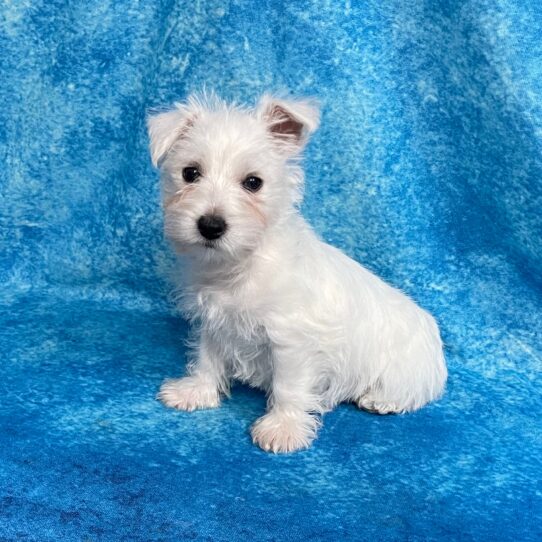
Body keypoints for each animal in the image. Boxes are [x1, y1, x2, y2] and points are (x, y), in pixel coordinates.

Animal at [147, 94, 448, 454]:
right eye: (190, 173)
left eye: (253, 182)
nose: (210, 226)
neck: (242, 264)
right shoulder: (214, 322)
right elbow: (207, 358)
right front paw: (196, 391)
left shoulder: (291, 339)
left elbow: (288, 386)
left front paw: (283, 428)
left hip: (406, 370)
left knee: (412, 391)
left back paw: (379, 399)